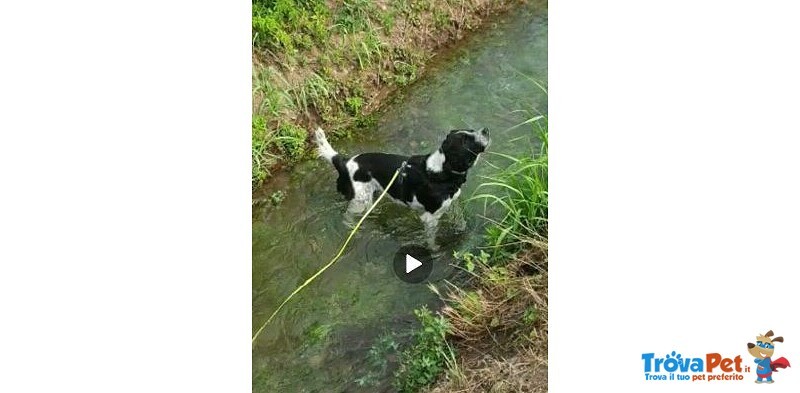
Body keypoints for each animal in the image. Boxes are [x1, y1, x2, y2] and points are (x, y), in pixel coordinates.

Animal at [316, 127, 490, 243]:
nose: (486, 130)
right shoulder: (429, 218)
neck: (440, 171)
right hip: (359, 202)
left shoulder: (452, 204)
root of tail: (343, 162)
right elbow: (431, 241)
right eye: (465, 140)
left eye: (471, 130)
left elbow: (461, 223)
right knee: (347, 218)